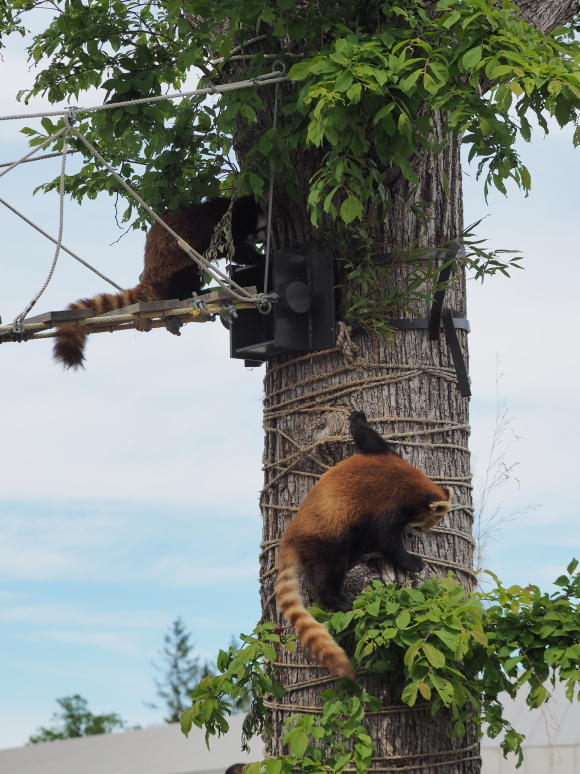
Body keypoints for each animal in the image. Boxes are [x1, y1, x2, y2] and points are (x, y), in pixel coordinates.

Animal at [53, 199, 266, 372]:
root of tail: (150, 280)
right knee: (191, 267)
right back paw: (193, 293)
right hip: (174, 270)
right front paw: (259, 257)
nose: (262, 239)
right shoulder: (220, 225)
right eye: (262, 229)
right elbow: (233, 249)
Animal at [276, 412, 454, 680]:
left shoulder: (385, 454)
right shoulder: (390, 504)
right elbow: (386, 539)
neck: (411, 484)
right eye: (421, 527)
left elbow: (367, 437)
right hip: (328, 538)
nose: (413, 534)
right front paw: (412, 562)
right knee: (329, 570)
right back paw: (338, 598)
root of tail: (290, 535)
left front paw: (357, 417)